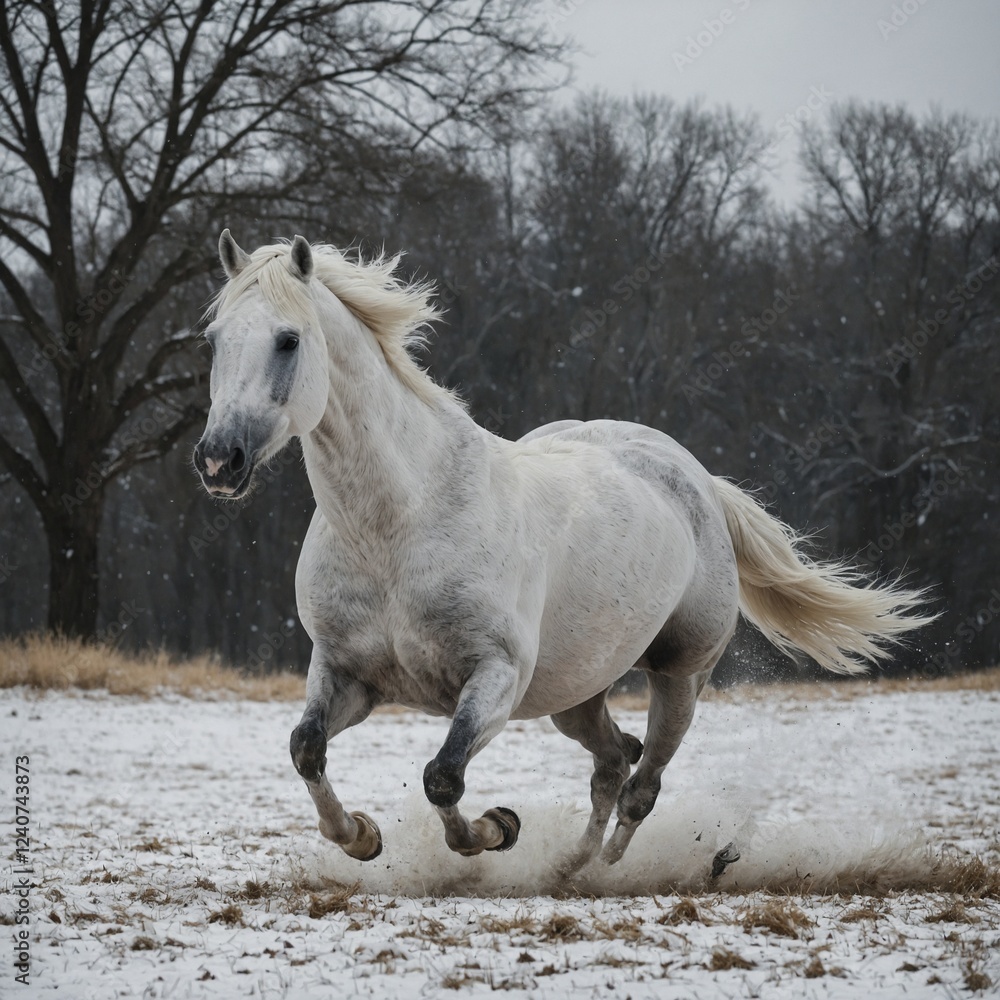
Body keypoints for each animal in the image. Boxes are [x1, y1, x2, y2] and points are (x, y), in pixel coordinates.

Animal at [193, 230, 931, 876]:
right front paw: (362, 837)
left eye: (288, 340)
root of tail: (695, 478)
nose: (219, 460)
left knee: (641, 784)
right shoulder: (346, 672)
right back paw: (565, 865)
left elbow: (443, 778)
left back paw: (596, 868)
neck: (399, 526)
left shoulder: (495, 677)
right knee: (613, 761)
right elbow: (307, 750)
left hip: (680, 675)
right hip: (574, 693)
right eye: (215, 339)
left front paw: (497, 828)